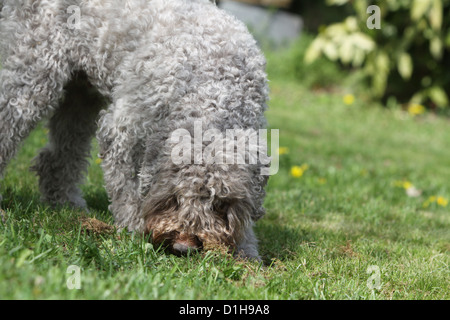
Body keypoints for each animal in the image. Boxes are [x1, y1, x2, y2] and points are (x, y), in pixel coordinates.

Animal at [0, 0, 268, 258]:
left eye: (221, 203)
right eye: (174, 196)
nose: (184, 248)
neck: (210, 90)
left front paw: (246, 250)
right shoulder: (122, 130)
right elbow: (126, 189)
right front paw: (136, 229)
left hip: (80, 96)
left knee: (58, 158)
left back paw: (67, 204)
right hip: (32, 73)